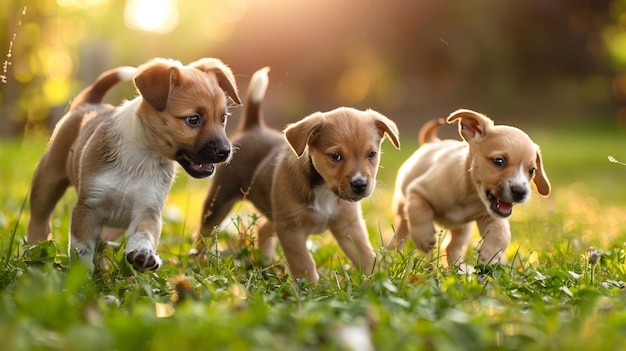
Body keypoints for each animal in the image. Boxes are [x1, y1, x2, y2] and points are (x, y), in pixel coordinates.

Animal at [28, 57, 240, 272]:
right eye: (193, 119)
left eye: (223, 118)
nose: (225, 151)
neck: (141, 158)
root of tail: (91, 102)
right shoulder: (87, 208)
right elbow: (83, 249)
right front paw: (81, 276)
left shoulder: (148, 210)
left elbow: (143, 235)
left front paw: (142, 254)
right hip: (48, 181)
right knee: (39, 221)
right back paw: (34, 255)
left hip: (111, 228)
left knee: (102, 244)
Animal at [195, 68, 400, 284]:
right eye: (335, 156)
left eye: (372, 154)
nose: (360, 184)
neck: (323, 189)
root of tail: (253, 128)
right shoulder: (291, 230)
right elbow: (303, 263)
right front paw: (311, 288)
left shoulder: (348, 226)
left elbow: (366, 256)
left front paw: (379, 281)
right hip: (218, 203)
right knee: (202, 236)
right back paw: (196, 263)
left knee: (262, 228)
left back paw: (266, 264)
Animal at [388, 110, 548, 270]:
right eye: (499, 161)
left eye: (532, 170)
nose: (520, 192)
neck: (469, 195)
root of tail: (432, 142)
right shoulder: (417, 190)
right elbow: (419, 212)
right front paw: (424, 237)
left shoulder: (491, 216)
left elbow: (501, 233)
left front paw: (492, 254)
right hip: (401, 207)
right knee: (401, 232)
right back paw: (391, 253)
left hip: (463, 229)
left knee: (452, 247)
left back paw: (459, 269)